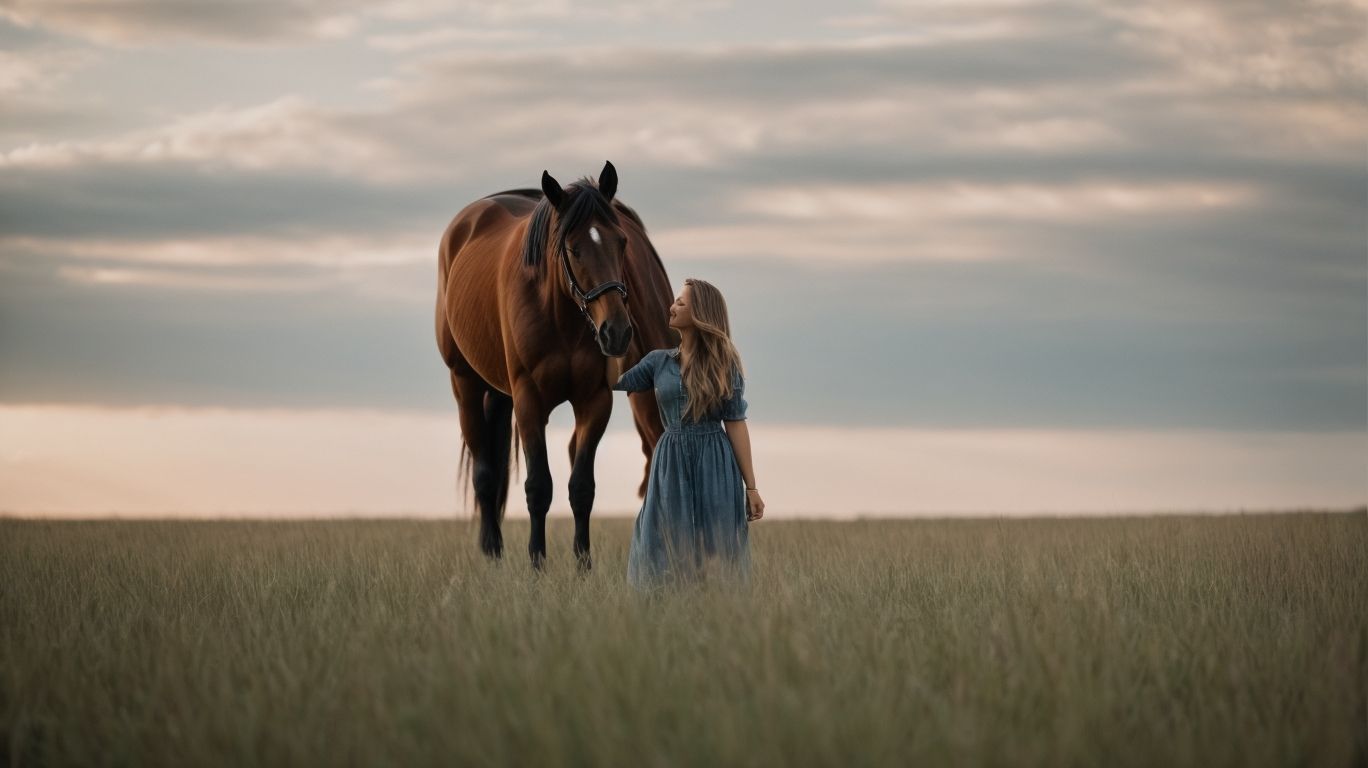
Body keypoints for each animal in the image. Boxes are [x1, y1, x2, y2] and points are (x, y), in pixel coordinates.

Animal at [435, 161, 675, 570]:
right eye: (574, 248)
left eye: (621, 242)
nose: (616, 332)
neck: (559, 315)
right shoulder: (530, 403)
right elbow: (538, 487)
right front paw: (537, 564)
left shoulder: (595, 401)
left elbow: (581, 487)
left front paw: (583, 566)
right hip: (464, 384)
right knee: (484, 476)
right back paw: (493, 553)